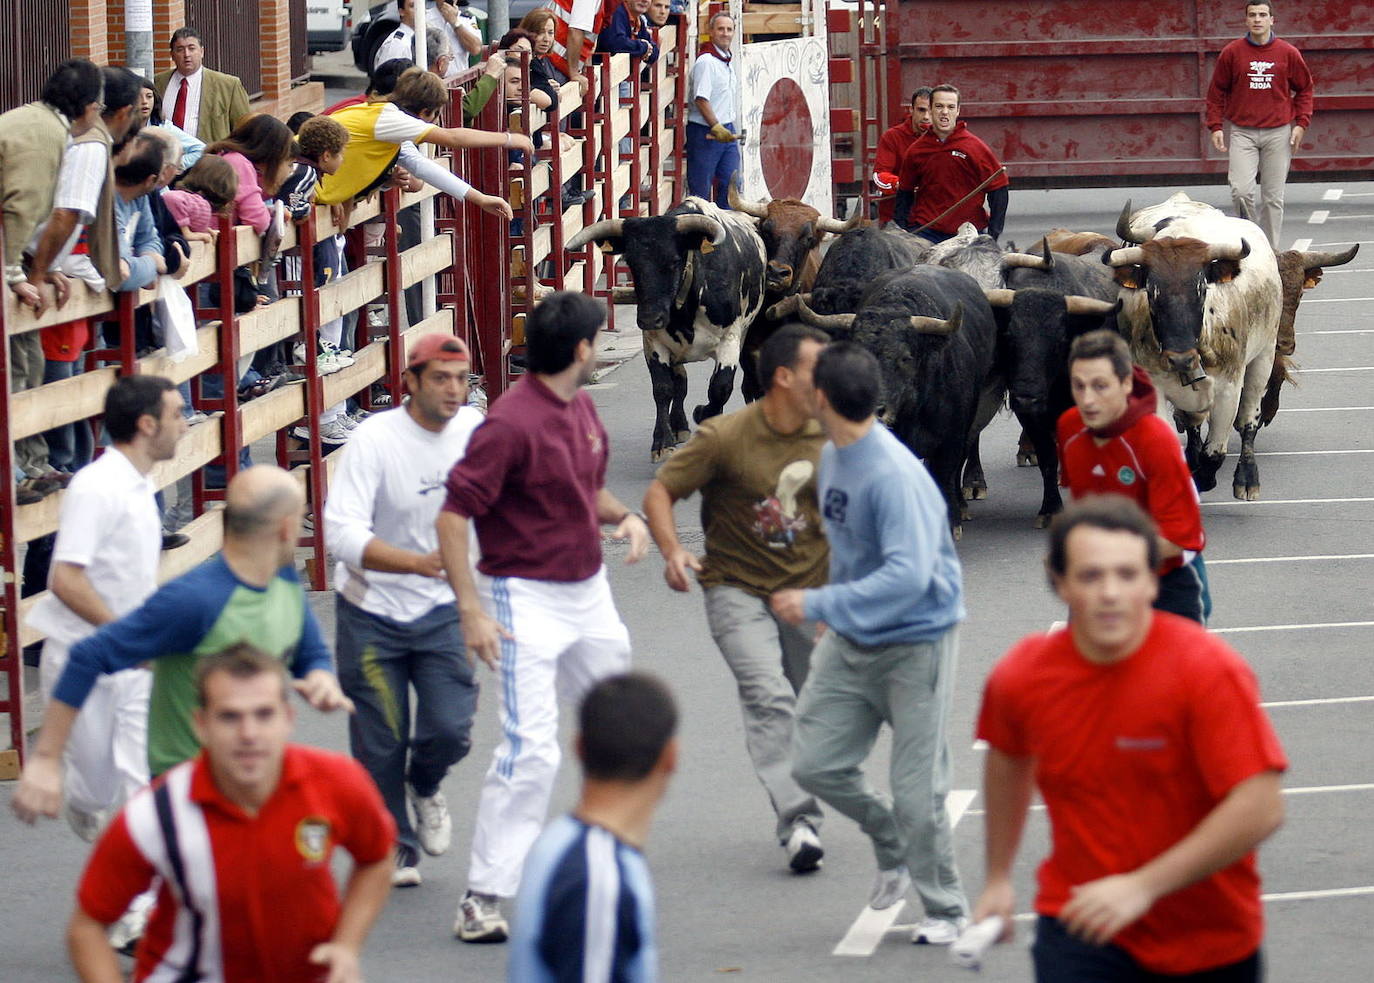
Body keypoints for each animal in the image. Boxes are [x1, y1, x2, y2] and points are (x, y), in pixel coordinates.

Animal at [563, 199, 769, 464]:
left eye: (673, 261)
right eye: (632, 263)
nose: (650, 318)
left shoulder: (730, 339)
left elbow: (719, 388)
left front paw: (704, 415)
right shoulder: (653, 342)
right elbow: (663, 389)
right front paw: (662, 442)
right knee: (680, 382)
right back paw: (678, 425)